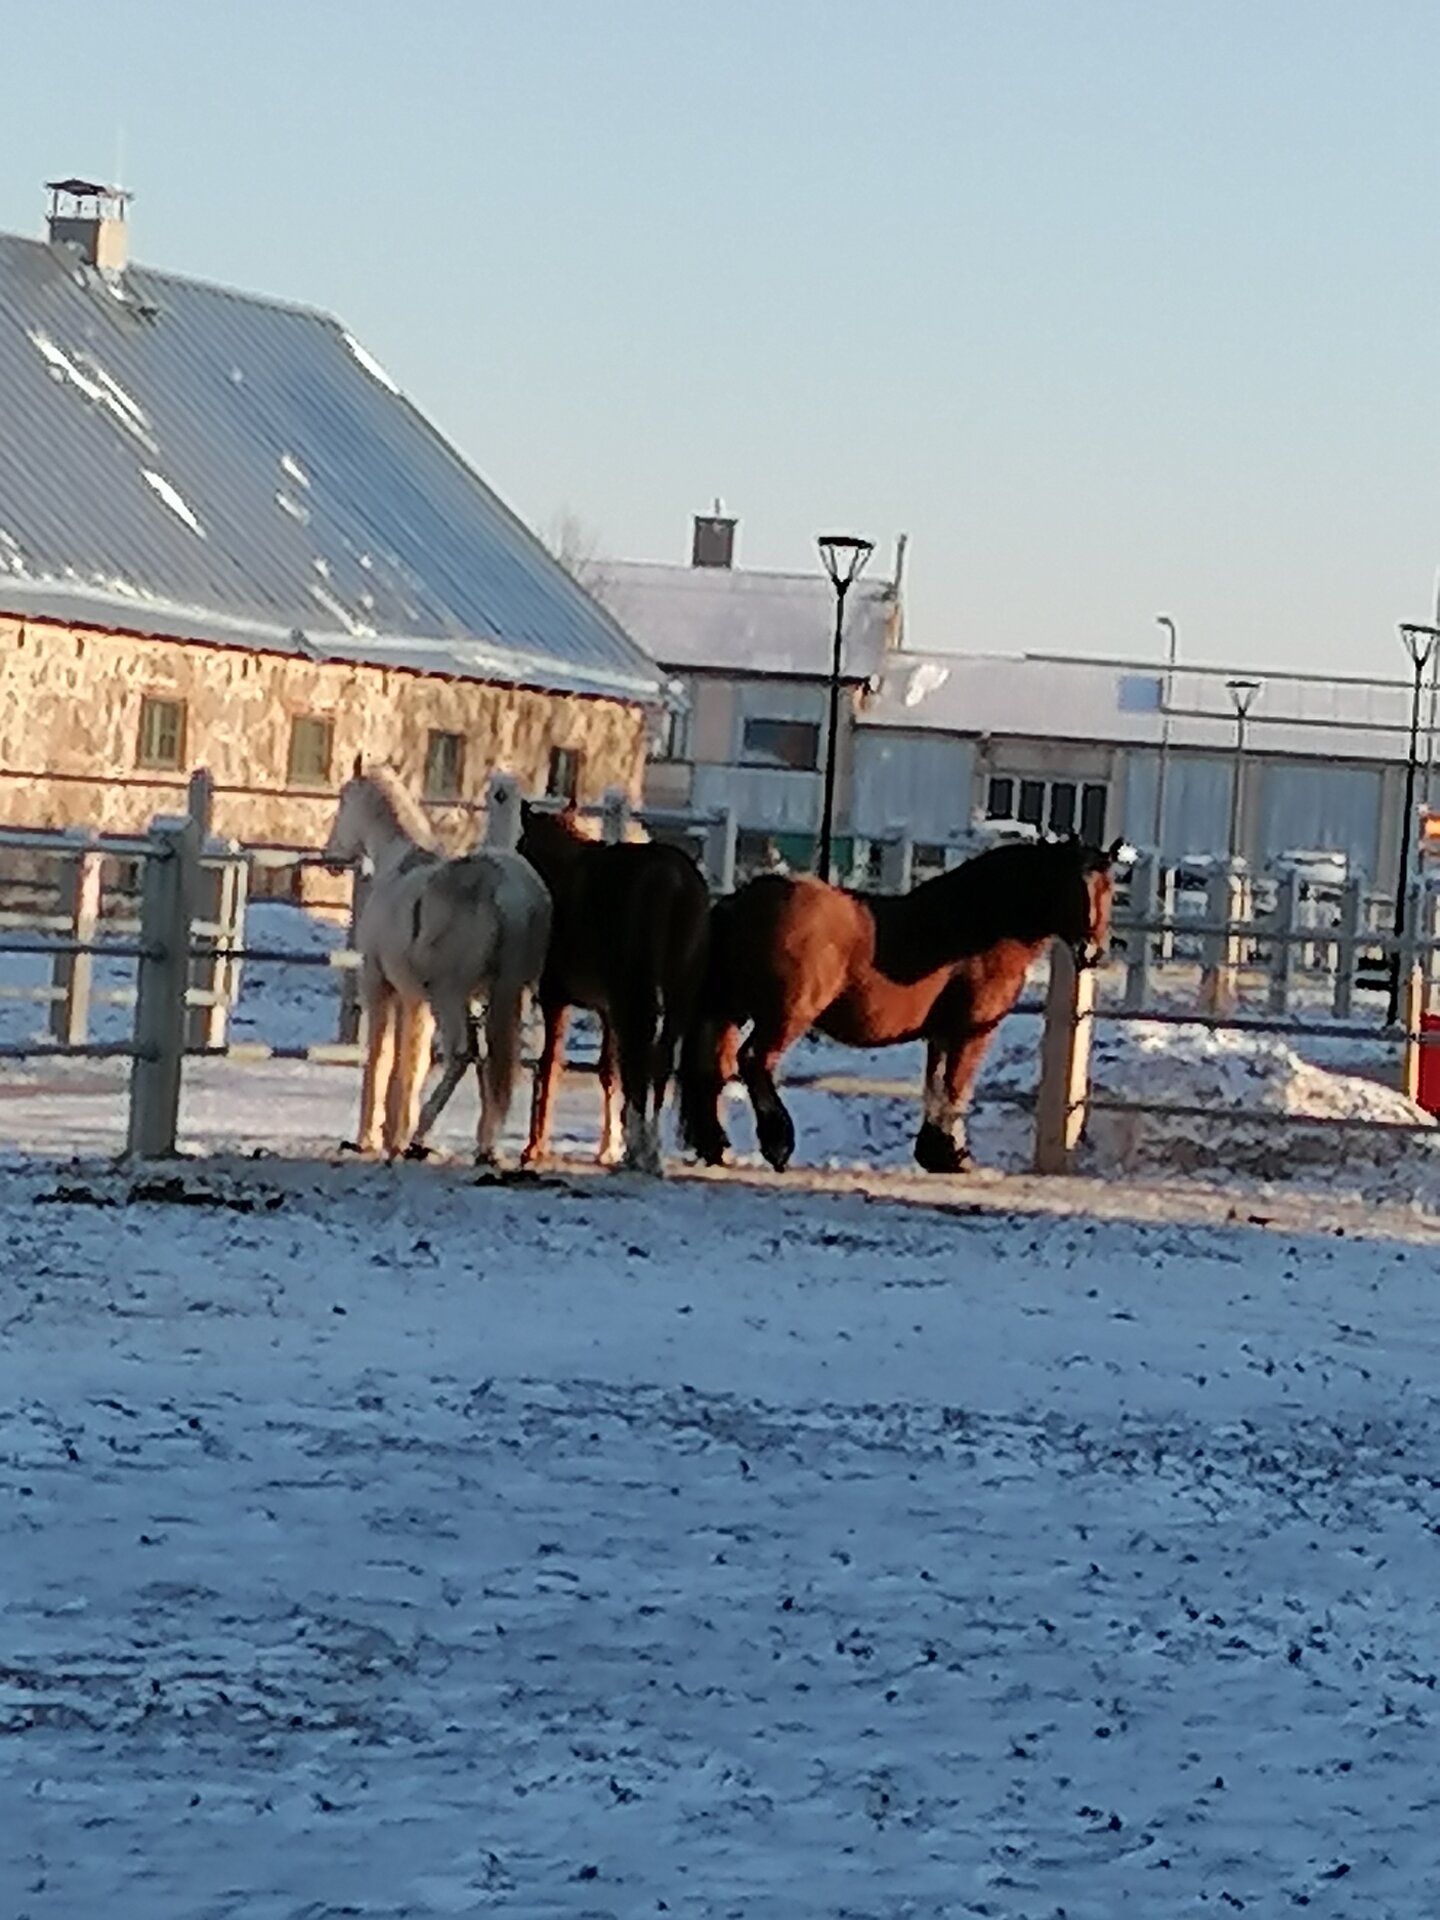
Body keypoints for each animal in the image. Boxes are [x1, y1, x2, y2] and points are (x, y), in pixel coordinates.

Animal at [320, 768, 552, 1159]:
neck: (398, 866)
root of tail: (510, 893)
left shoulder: (380, 985)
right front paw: (393, 1134)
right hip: (507, 997)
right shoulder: (415, 999)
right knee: (498, 1061)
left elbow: (382, 1056)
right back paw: (484, 1145)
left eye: (343, 801)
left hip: (449, 994)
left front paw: (370, 1137)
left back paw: (422, 1133)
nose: (330, 856)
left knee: (463, 1054)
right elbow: (412, 1061)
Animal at [526, 806, 718, 1175]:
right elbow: (608, 1071)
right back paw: (649, 1151)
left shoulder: (557, 1000)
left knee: (641, 1061)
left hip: (636, 997)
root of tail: (673, 879)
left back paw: (641, 1150)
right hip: (676, 997)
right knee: (657, 1061)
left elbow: (550, 1065)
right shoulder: (607, 1009)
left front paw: (534, 1147)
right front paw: (609, 1147)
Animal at [679, 837, 1128, 1167]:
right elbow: (958, 1085)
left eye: (1109, 888)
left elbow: (937, 1083)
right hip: (784, 1016)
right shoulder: (972, 1029)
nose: (1091, 952)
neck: (978, 925)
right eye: (1071, 886)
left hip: (729, 1011)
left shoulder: (942, 1032)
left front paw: (934, 1151)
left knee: (715, 1069)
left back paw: (717, 1146)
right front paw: (953, 1155)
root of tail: (740, 900)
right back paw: (777, 1144)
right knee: (753, 1062)